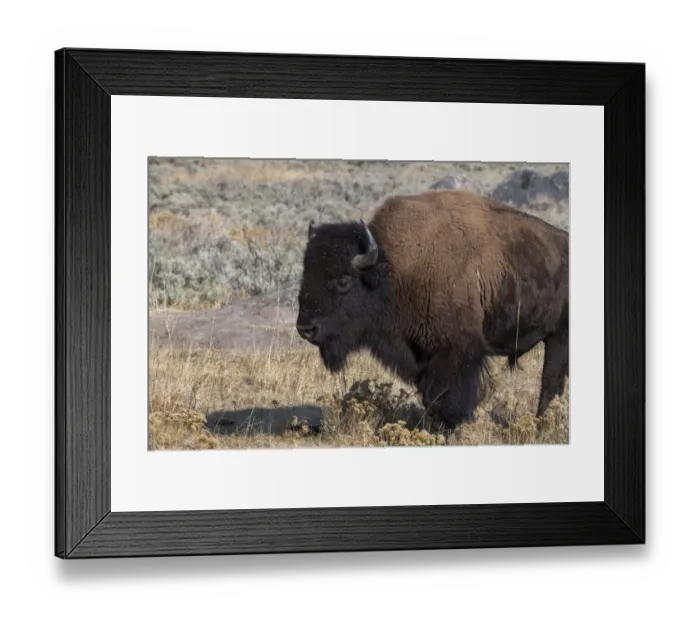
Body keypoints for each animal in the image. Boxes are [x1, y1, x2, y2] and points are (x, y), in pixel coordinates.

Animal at [296, 190, 568, 429]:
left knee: (550, 381)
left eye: (343, 281)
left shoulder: (458, 351)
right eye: (305, 275)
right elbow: (431, 397)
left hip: (559, 337)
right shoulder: (420, 355)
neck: (394, 269)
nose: (306, 328)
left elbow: (450, 399)